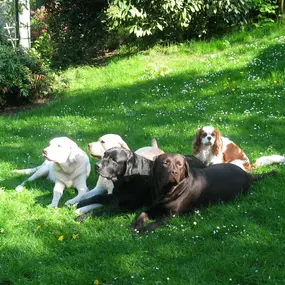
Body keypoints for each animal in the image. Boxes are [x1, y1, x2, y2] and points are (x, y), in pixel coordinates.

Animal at [132, 153, 276, 231]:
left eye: (179, 164)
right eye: (165, 163)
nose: (173, 172)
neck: (166, 192)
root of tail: (247, 174)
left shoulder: (171, 215)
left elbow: (154, 223)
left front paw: (142, 229)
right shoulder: (154, 207)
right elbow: (142, 213)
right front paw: (136, 224)